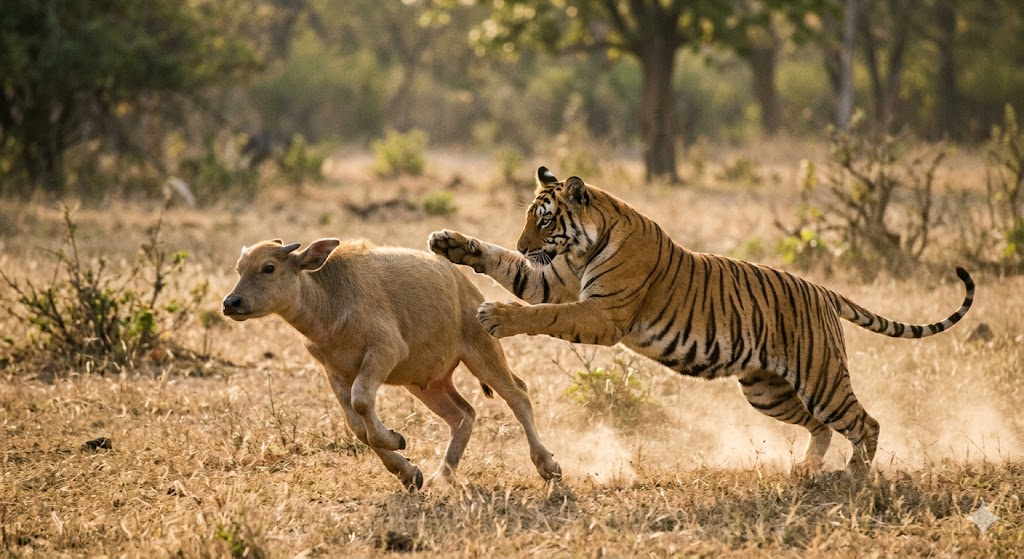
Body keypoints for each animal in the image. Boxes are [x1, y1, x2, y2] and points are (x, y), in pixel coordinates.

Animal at [428, 166, 975, 476]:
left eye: (543, 219)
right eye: (529, 217)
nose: (524, 245)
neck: (584, 244)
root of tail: (822, 290)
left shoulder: (600, 314)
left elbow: (545, 312)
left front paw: (495, 315)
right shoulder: (552, 280)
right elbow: (505, 267)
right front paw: (450, 242)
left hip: (821, 378)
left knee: (866, 423)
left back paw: (854, 476)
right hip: (767, 390)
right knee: (820, 427)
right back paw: (806, 470)